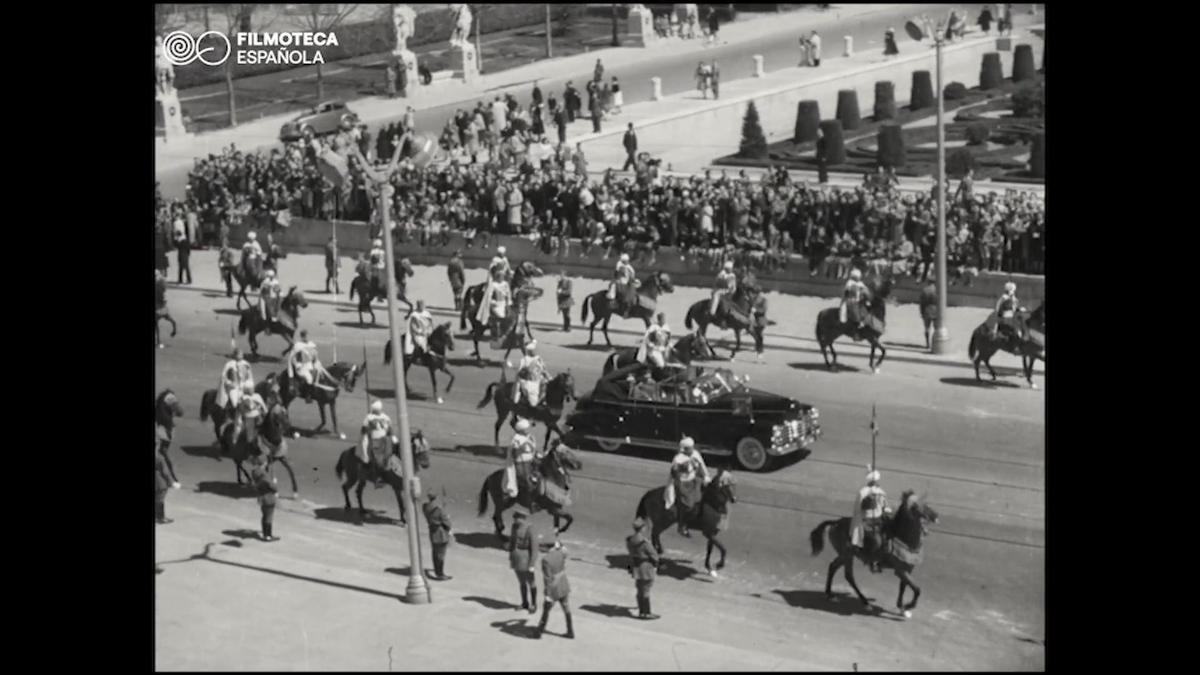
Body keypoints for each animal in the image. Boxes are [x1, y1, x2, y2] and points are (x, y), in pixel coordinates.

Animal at [811, 487, 940, 614]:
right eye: (916, 506)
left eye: (926, 503)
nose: (936, 515)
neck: (902, 537)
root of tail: (836, 522)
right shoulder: (901, 570)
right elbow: (917, 589)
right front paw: (909, 606)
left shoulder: (908, 569)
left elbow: (903, 587)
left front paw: (901, 606)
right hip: (847, 555)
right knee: (849, 576)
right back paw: (865, 602)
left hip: (845, 555)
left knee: (833, 566)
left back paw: (830, 594)